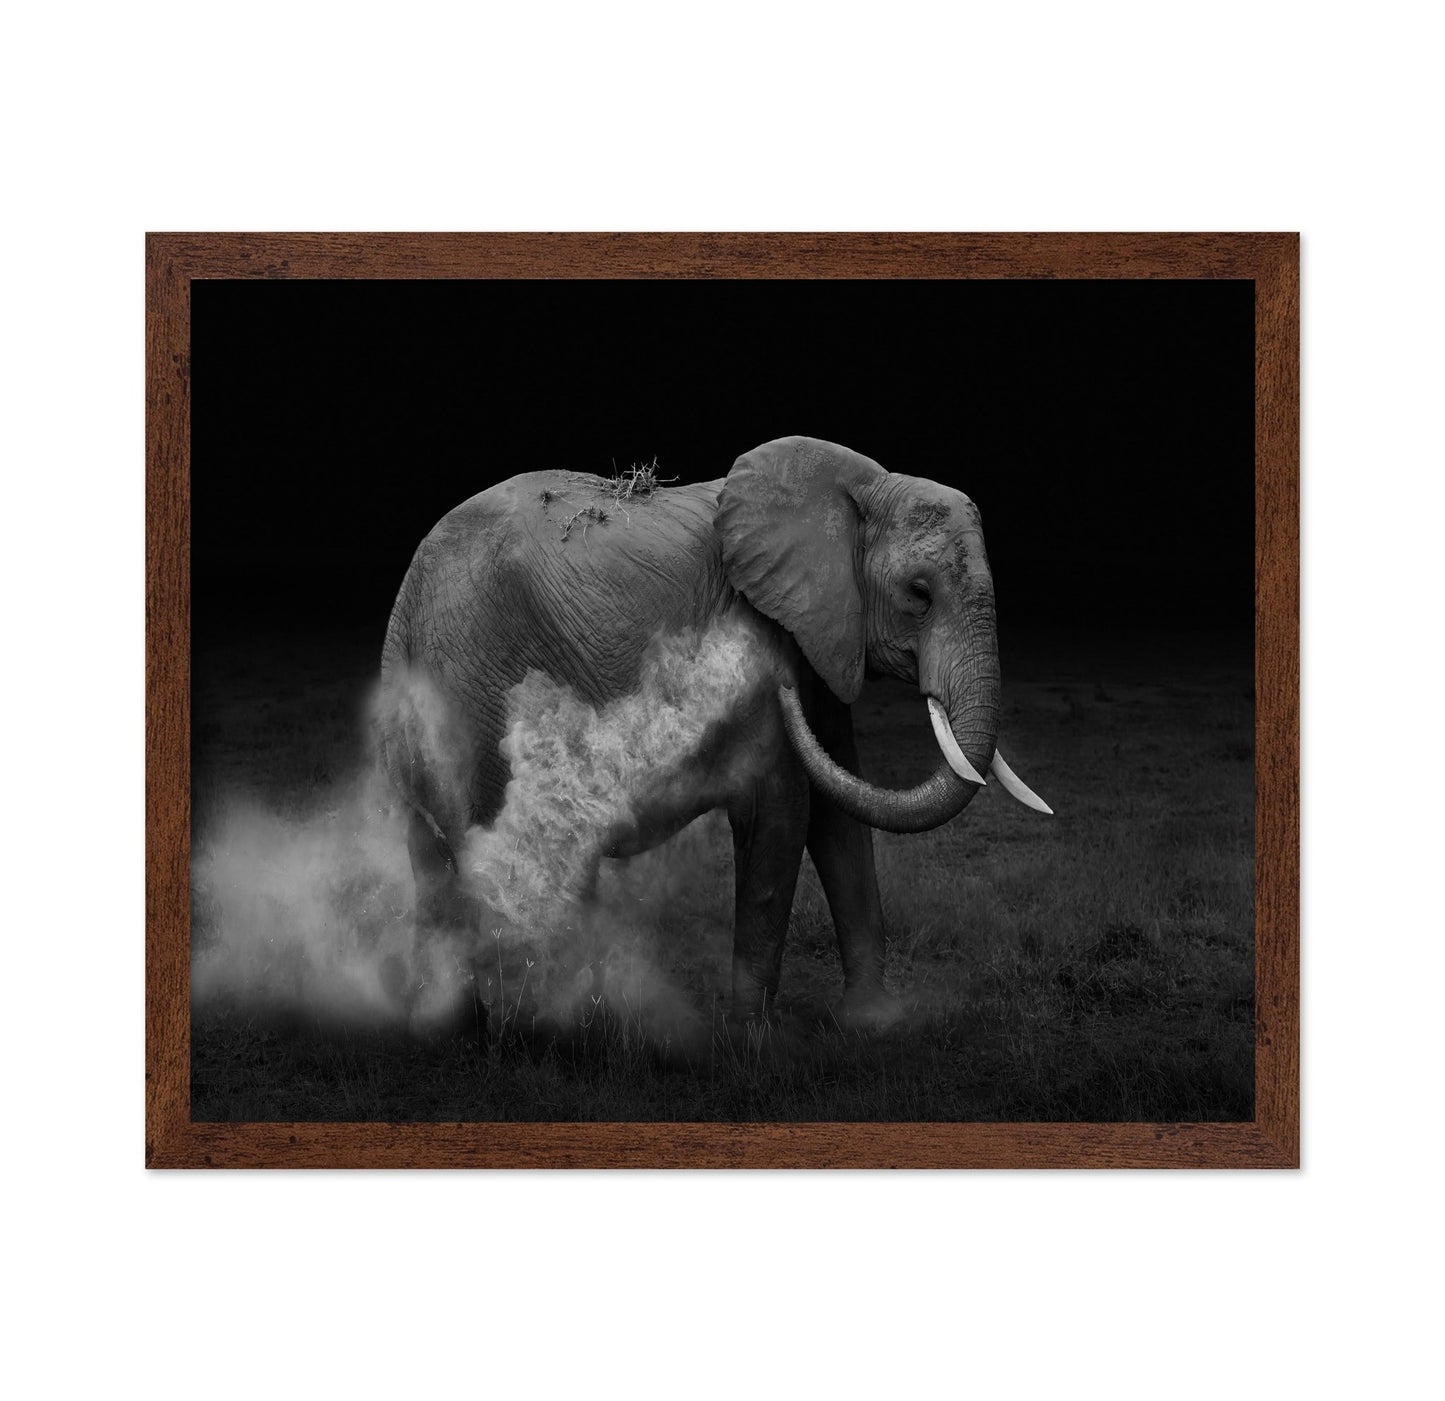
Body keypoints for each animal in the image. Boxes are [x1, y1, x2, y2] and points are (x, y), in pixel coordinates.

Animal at [376, 435, 1049, 1026]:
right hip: (476, 686)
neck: (858, 487)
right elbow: (782, 809)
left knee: (438, 857)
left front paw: (873, 1024)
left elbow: (838, 817)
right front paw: (751, 1039)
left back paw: (463, 1028)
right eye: (919, 594)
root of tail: (411, 583)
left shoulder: (822, 635)